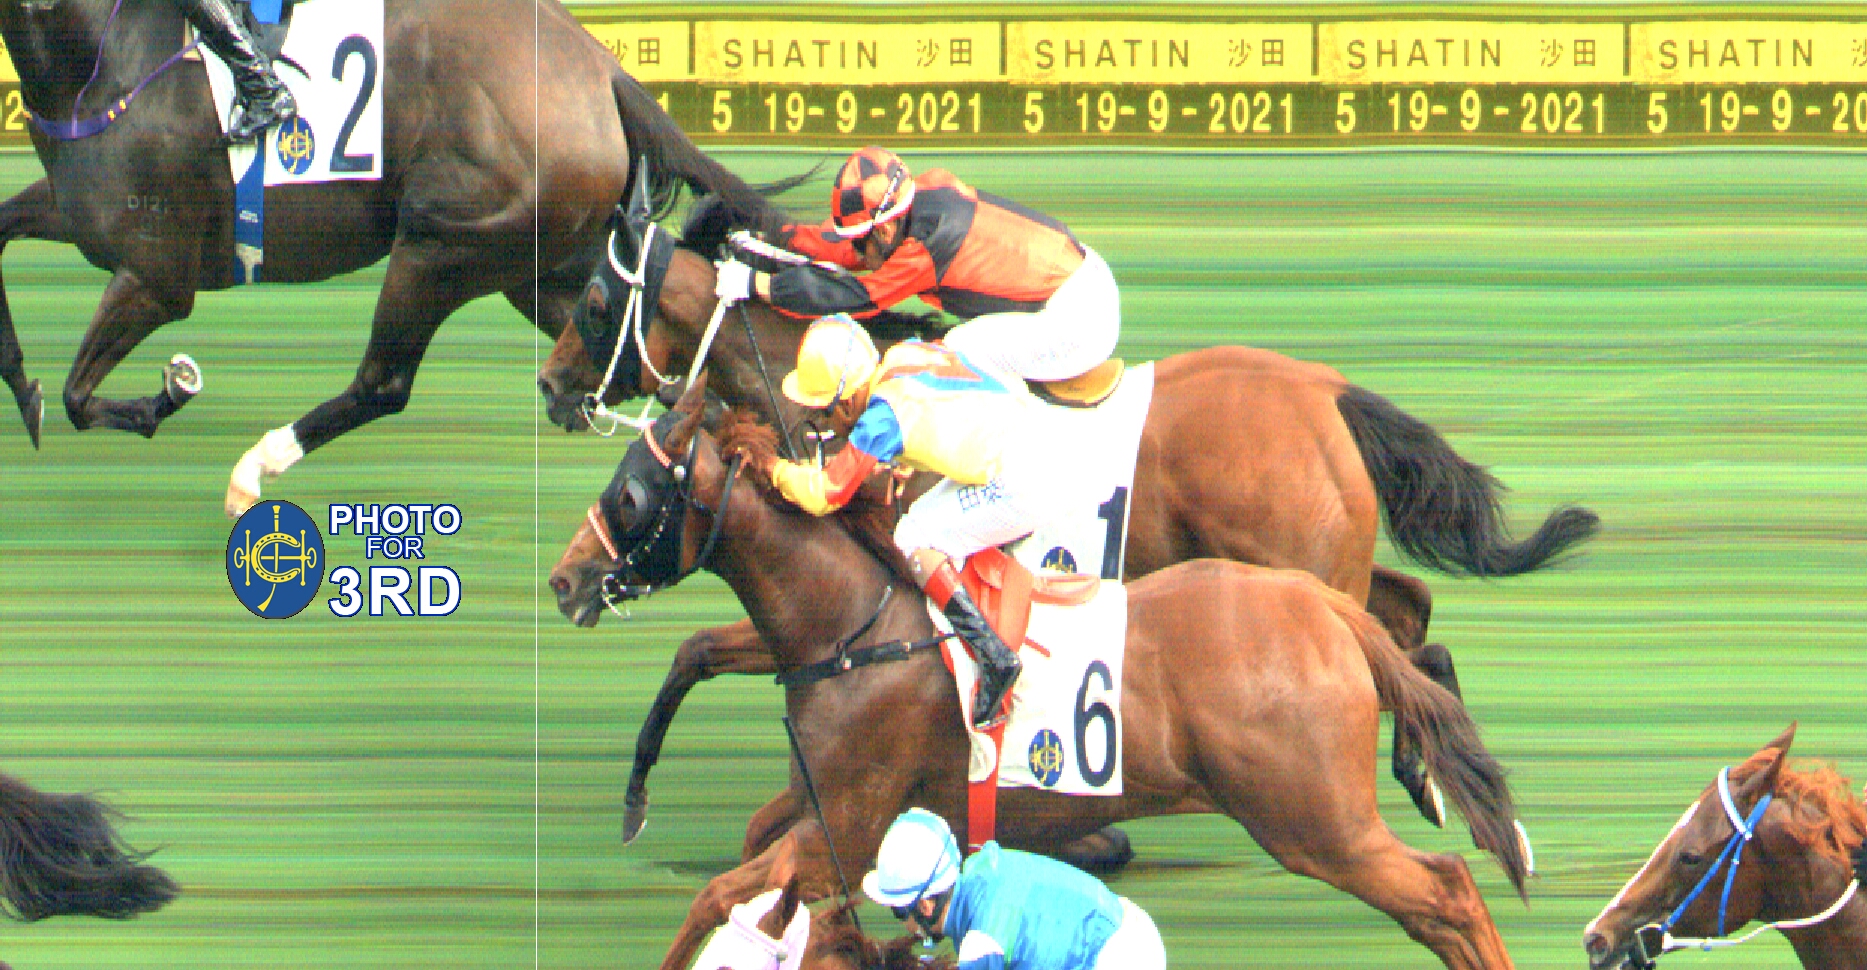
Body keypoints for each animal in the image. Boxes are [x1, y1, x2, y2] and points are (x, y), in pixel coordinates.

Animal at [0, 0, 777, 516]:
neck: (104, 56)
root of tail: (599, 69)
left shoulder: (158, 275)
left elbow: (78, 396)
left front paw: (166, 395)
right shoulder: (80, 217)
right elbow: (9, 239)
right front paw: (25, 391)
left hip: (442, 244)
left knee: (383, 383)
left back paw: (254, 471)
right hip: (555, 276)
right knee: (665, 375)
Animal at [535, 204, 1599, 840]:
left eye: (590, 299)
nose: (548, 388)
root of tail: (1324, 390)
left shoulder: (894, 579)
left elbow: (702, 649)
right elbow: (699, 653)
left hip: (1301, 565)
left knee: (1394, 639)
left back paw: (1427, 773)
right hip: (1323, 560)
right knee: (1411, 613)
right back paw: (1434, 774)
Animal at [551, 379, 1531, 970]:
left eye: (629, 493)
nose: (565, 579)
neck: (857, 625)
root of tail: (1323, 609)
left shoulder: (849, 831)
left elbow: (715, 896)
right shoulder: (819, 811)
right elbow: (752, 874)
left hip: (1313, 820)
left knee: (1444, 892)